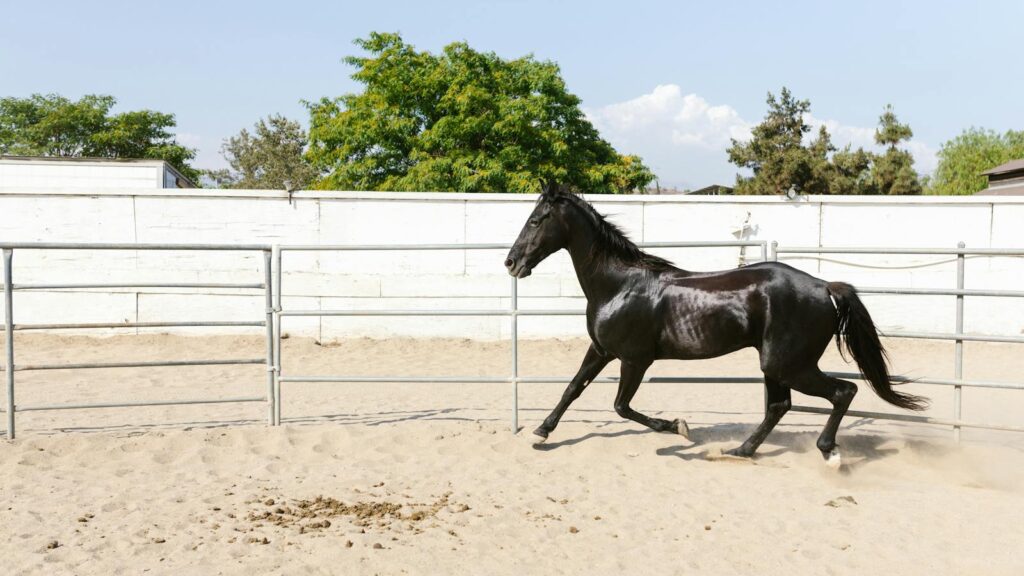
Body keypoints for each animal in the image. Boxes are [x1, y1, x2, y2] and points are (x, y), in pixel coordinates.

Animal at [504, 183, 927, 466]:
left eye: (536, 220)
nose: (511, 262)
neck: (619, 285)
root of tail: (825, 287)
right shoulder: (601, 350)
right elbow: (573, 388)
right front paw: (542, 433)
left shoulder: (635, 359)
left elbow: (621, 406)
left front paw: (678, 428)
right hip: (776, 365)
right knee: (780, 405)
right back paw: (740, 450)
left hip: (788, 364)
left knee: (842, 391)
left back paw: (829, 454)